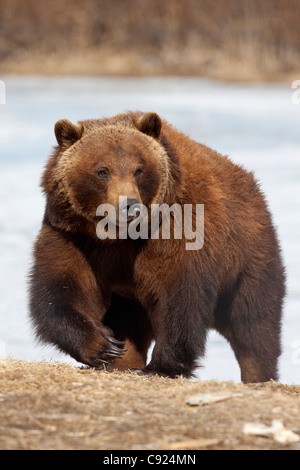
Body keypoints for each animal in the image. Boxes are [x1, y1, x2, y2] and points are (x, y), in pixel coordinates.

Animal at [29, 112, 286, 384]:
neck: (118, 236)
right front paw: (104, 345)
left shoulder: (175, 230)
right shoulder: (74, 237)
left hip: (247, 257)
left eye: (139, 170)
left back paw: (258, 374)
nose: (129, 205)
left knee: (253, 323)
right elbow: (62, 287)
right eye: (102, 171)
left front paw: (159, 367)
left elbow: (177, 297)